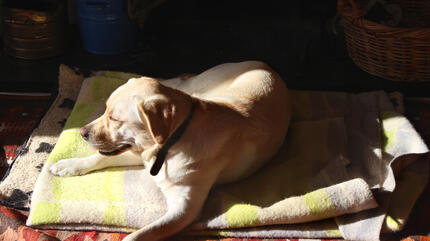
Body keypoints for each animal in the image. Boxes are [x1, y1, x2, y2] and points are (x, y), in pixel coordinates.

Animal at [50, 60, 292, 241]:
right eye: (106, 110)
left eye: (115, 118)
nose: (82, 132)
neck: (173, 142)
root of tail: (262, 64)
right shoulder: (144, 153)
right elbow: (99, 158)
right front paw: (68, 165)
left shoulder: (184, 208)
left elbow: (136, 235)